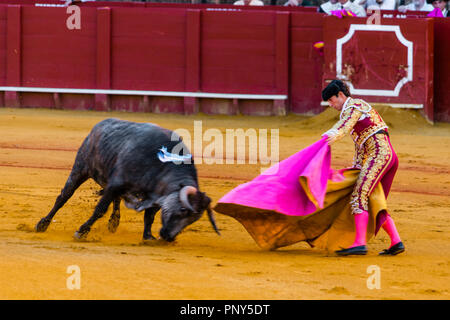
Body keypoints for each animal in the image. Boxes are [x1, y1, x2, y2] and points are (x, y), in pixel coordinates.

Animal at [33, 119, 220, 241]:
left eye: (193, 219)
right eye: (182, 210)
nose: (168, 237)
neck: (162, 166)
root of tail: (99, 126)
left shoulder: (155, 194)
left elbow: (149, 215)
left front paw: (148, 236)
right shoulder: (117, 183)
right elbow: (100, 209)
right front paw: (82, 231)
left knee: (116, 201)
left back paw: (114, 222)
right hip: (81, 168)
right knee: (64, 196)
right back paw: (43, 224)